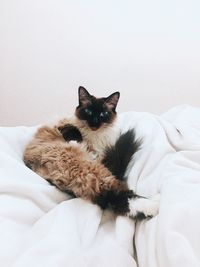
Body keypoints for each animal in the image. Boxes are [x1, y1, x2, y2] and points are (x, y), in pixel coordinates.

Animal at [23, 87, 159, 219]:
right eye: (88, 112)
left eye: (103, 114)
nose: (95, 123)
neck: (95, 137)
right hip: (85, 167)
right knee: (115, 193)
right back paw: (153, 207)